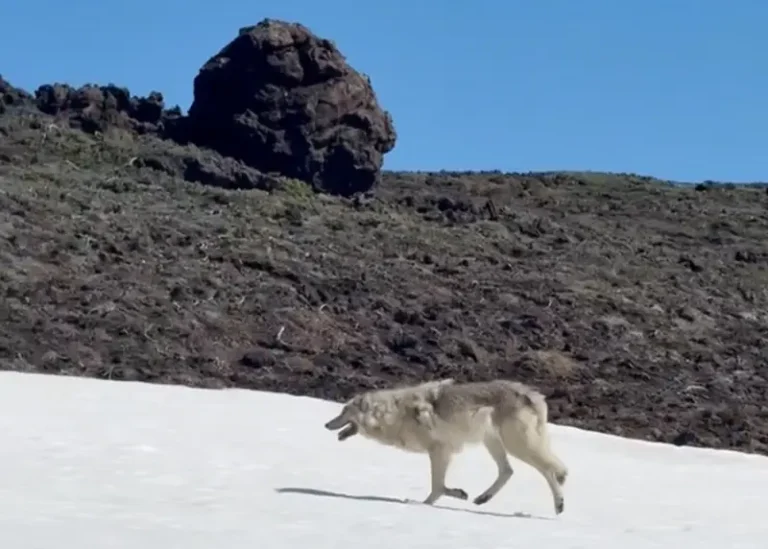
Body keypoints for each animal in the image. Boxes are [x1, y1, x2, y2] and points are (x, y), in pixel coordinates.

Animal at [324, 378, 569, 514]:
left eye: (343, 412)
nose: (326, 424)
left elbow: (437, 486)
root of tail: (534, 395)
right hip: (494, 443)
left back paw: (559, 504)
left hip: (517, 445)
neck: (394, 413)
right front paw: (457, 494)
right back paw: (483, 498)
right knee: (507, 471)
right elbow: (440, 485)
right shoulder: (442, 451)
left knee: (550, 471)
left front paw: (425, 504)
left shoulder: (440, 450)